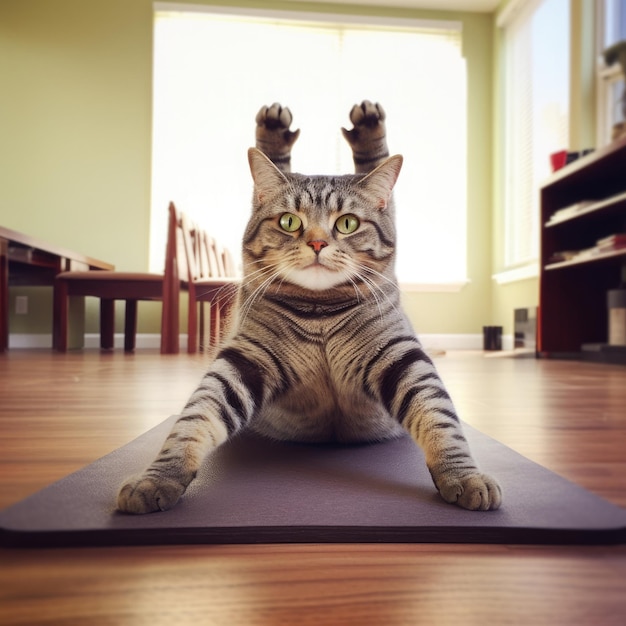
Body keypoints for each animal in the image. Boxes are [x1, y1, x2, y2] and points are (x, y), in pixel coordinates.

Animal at [117, 101, 500, 512]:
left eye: (347, 223)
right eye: (289, 221)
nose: (317, 243)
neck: (320, 312)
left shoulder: (402, 356)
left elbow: (439, 416)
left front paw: (463, 474)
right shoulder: (244, 360)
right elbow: (195, 417)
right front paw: (159, 477)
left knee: (377, 175)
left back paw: (366, 124)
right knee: (278, 165)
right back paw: (275, 128)